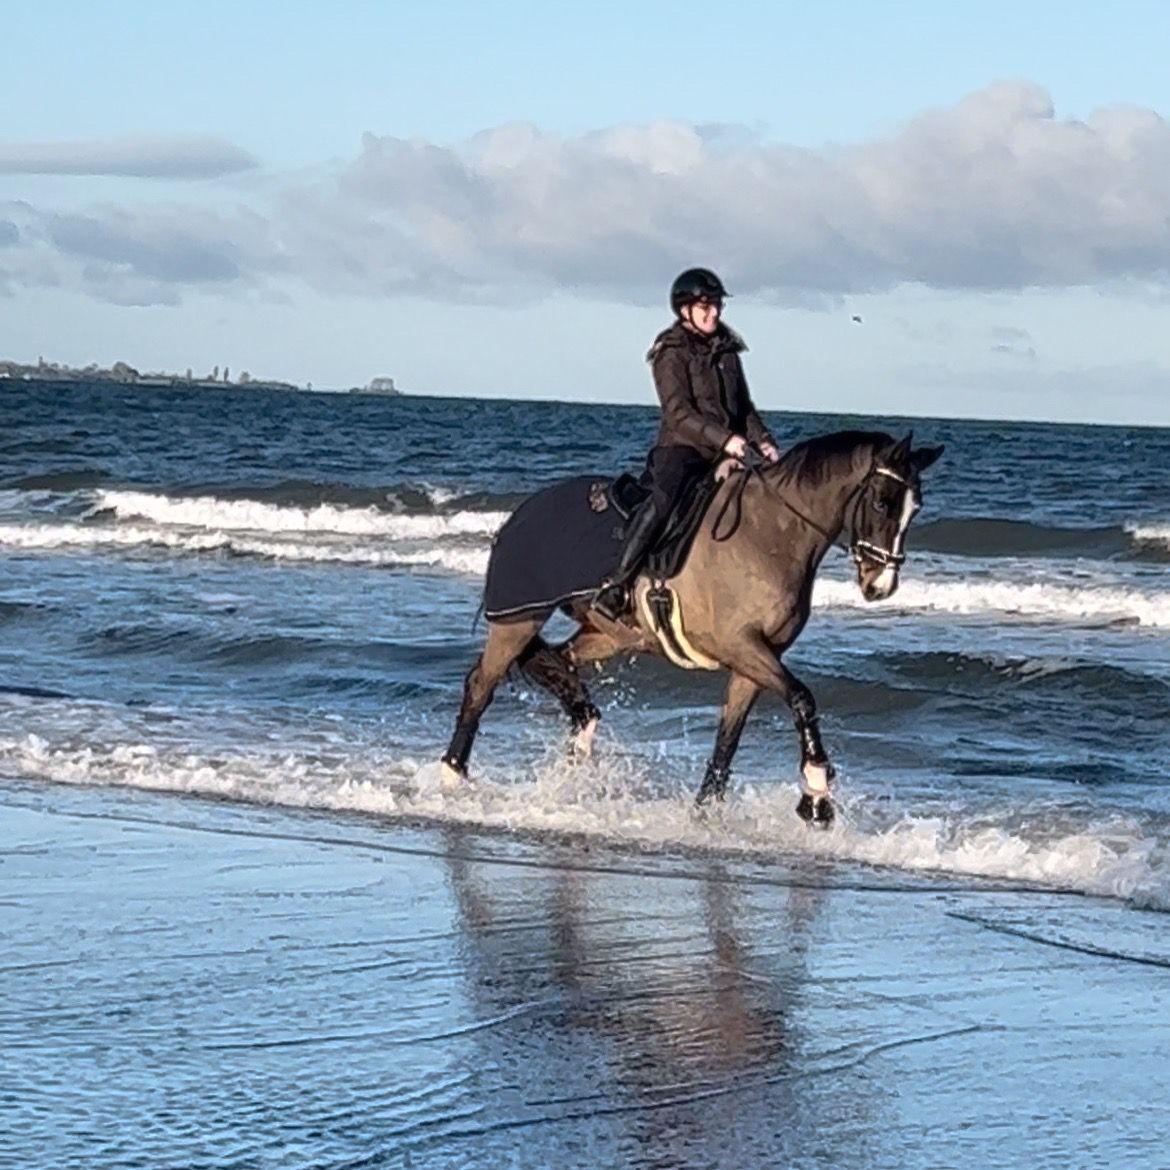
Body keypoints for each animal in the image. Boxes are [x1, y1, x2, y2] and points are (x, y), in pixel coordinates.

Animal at [440, 431, 944, 825]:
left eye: (915, 508)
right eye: (882, 501)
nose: (881, 585)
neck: (771, 534)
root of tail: (518, 513)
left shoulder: (756, 660)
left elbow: (729, 736)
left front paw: (705, 811)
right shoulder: (739, 645)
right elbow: (803, 698)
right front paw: (817, 794)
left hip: (608, 634)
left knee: (557, 662)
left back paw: (581, 733)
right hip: (518, 619)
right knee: (481, 684)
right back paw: (451, 774)